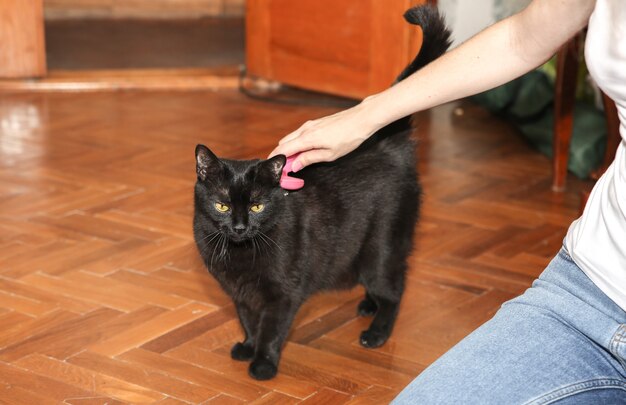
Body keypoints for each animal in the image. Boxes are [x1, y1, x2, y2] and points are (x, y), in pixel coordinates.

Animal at [191, 4, 448, 380]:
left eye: (256, 207)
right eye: (222, 205)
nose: (239, 227)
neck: (241, 252)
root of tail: (388, 144)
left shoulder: (284, 293)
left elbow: (271, 328)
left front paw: (263, 363)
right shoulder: (238, 293)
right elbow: (247, 319)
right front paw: (248, 346)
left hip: (382, 246)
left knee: (395, 288)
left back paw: (377, 332)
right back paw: (367, 305)